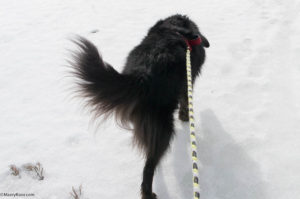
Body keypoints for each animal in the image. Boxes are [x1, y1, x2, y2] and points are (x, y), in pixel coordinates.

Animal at [71, 14, 209, 199]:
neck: (175, 29)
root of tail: (142, 76)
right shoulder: (187, 83)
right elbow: (186, 102)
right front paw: (185, 117)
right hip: (162, 129)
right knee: (148, 167)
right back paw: (148, 193)